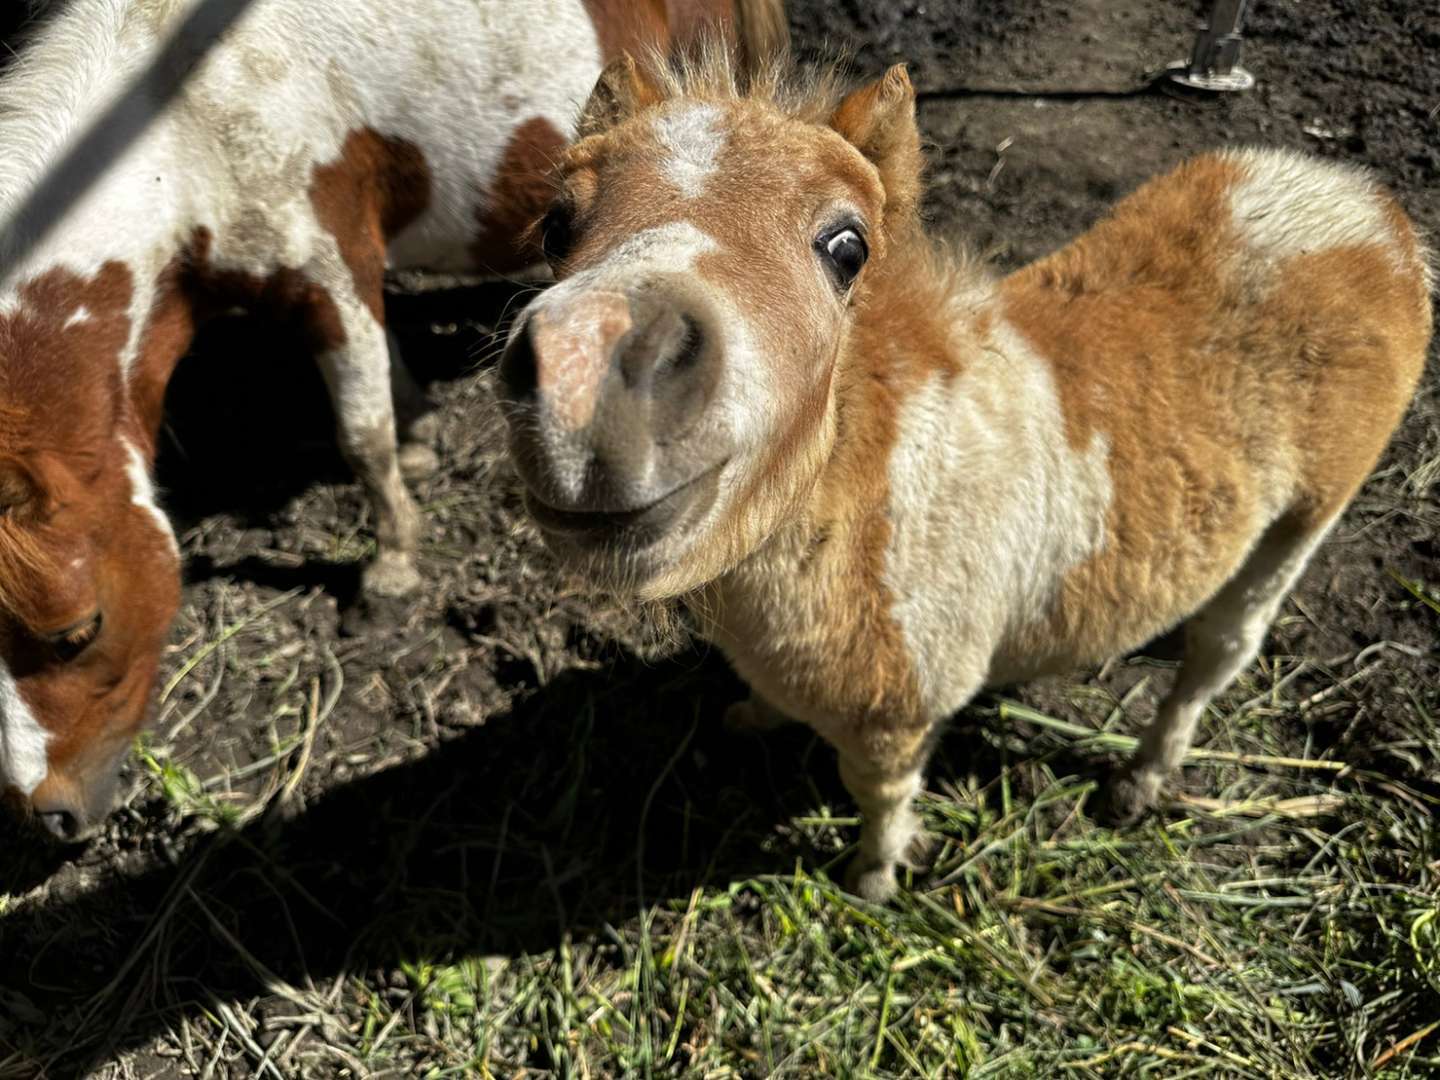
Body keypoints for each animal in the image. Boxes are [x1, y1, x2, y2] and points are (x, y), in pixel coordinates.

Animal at [0, 0, 789, 846]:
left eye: (76, 631)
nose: (48, 815)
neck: (182, 122)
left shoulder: (328, 264)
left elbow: (361, 432)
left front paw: (393, 567)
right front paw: (419, 443)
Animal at [501, 52, 1434, 904]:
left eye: (848, 248)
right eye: (554, 224)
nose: (590, 364)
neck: (860, 508)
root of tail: (1368, 208)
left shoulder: (901, 710)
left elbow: (879, 798)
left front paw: (874, 881)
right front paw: (750, 719)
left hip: (1304, 521)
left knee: (1222, 653)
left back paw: (1142, 780)